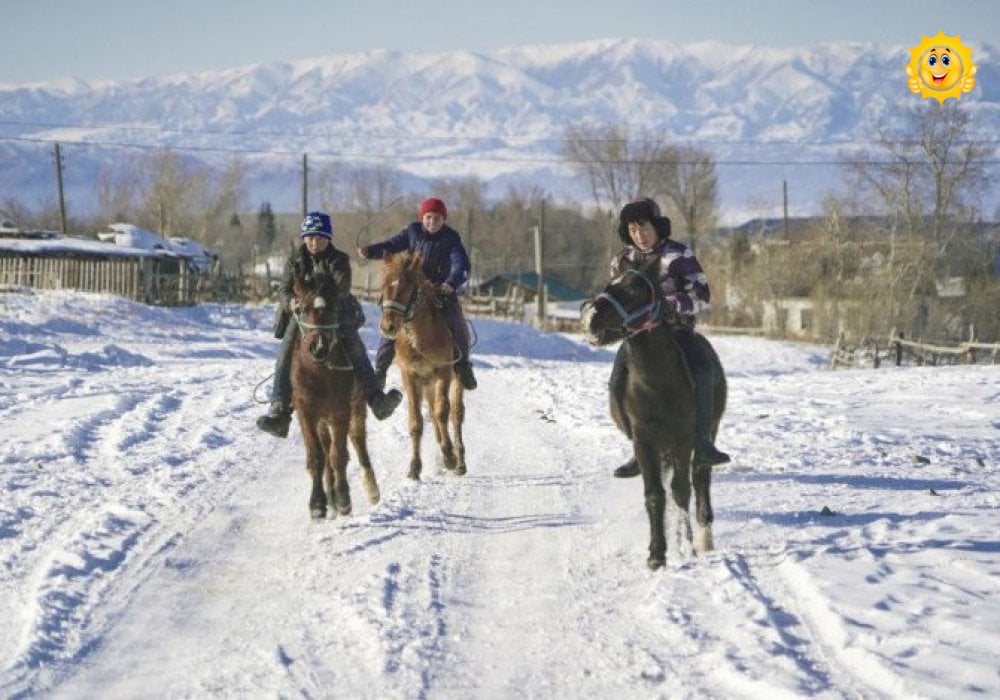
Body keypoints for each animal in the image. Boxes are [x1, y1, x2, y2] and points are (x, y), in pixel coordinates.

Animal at [292, 270, 382, 516]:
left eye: (333, 308)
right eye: (304, 308)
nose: (319, 347)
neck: (319, 372)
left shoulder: (341, 411)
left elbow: (338, 455)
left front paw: (343, 498)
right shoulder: (306, 412)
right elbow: (317, 456)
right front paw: (317, 503)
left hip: (356, 408)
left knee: (357, 442)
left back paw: (370, 488)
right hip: (323, 419)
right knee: (325, 447)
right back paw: (329, 494)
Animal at [376, 253, 466, 482]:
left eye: (407, 288)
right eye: (384, 286)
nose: (388, 326)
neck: (420, 335)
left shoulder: (443, 371)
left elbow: (443, 412)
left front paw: (450, 457)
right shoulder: (411, 376)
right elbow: (416, 421)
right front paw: (415, 467)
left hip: (455, 379)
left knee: (455, 414)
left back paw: (459, 460)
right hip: (427, 385)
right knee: (433, 413)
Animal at [580, 262, 728, 568]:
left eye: (635, 290)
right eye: (610, 283)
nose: (590, 316)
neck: (656, 383)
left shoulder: (683, 439)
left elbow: (681, 490)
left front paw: (685, 547)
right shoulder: (644, 442)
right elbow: (655, 495)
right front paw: (657, 553)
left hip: (707, 433)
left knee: (701, 476)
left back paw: (704, 536)